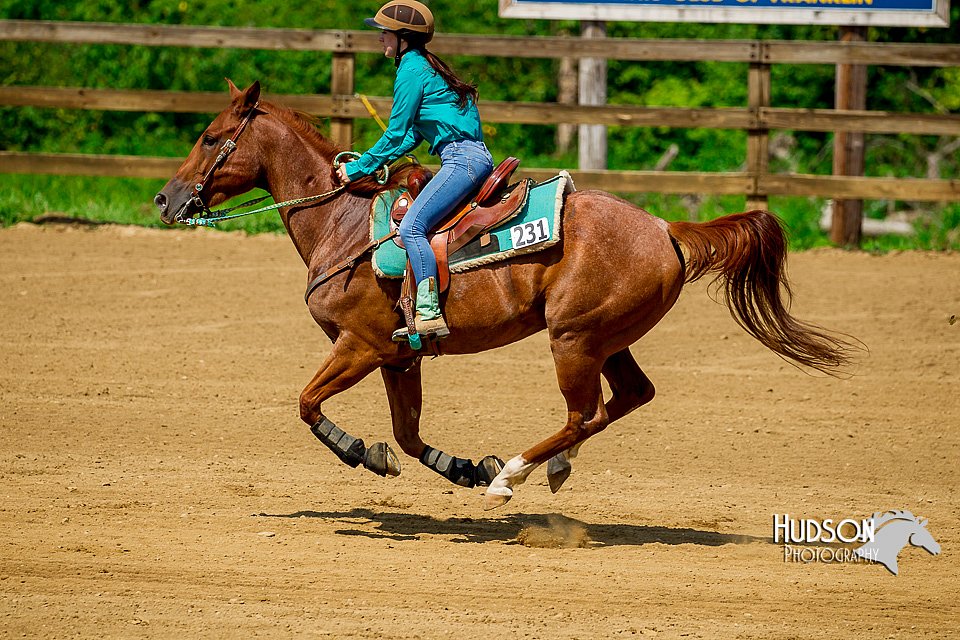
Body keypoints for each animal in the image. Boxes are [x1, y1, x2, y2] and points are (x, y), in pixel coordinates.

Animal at [156, 80, 856, 510]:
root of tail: (666, 228)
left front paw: (364, 453)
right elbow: (407, 435)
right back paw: (548, 468)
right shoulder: (398, 356)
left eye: (212, 137)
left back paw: (514, 474)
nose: (165, 199)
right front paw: (457, 466)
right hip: (606, 338)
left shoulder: (360, 346)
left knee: (582, 412)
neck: (344, 224)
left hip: (573, 339)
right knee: (628, 397)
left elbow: (306, 404)